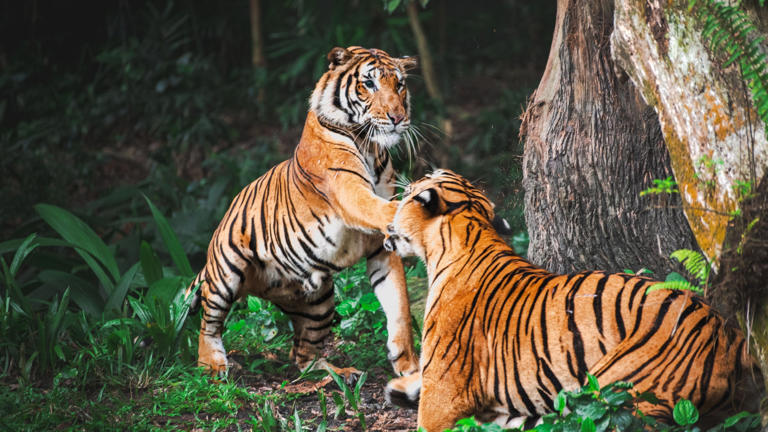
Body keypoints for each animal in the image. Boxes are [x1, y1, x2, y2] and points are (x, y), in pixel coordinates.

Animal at [186, 46, 420, 381]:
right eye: (369, 84)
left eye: (399, 85)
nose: (398, 118)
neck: (371, 147)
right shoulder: (348, 190)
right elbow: (377, 207)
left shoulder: (381, 249)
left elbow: (398, 305)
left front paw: (409, 368)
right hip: (226, 271)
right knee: (209, 323)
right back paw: (214, 365)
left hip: (319, 301)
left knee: (302, 355)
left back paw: (341, 374)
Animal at [382, 169, 763, 431]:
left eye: (410, 192)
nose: (392, 204)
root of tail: (729, 334)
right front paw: (400, 388)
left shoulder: (444, 400)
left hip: (621, 397)